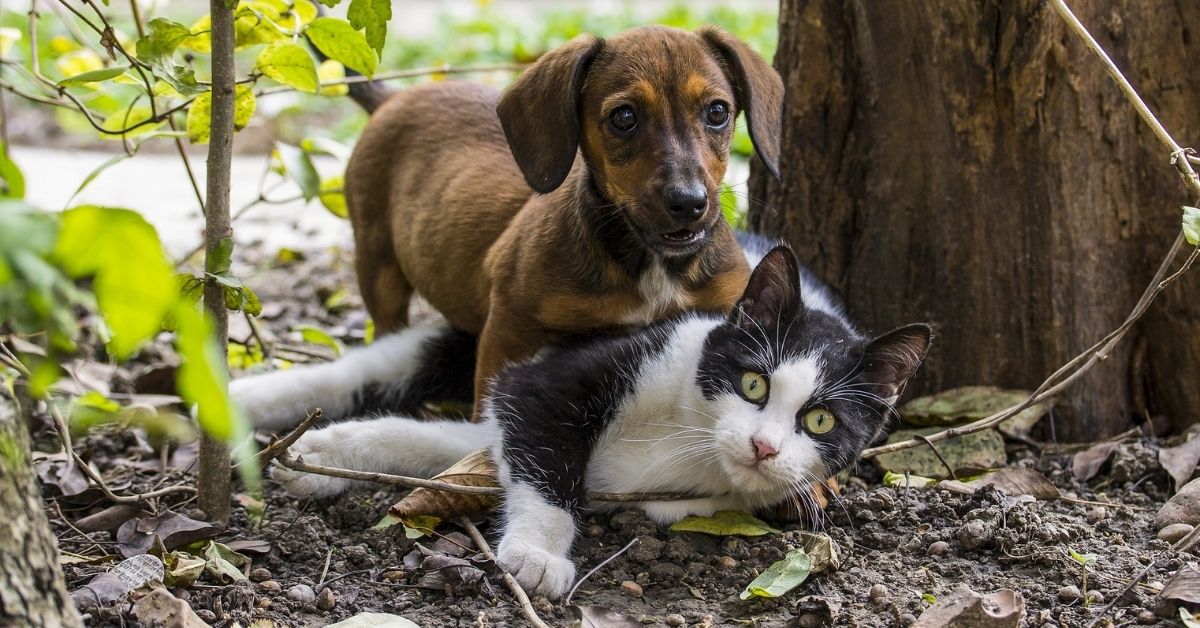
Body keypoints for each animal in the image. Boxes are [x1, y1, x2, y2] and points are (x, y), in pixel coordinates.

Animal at [229, 241, 931, 600]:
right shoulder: (558, 377)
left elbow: (445, 445)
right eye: (753, 383)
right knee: (374, 365)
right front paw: (538, 555)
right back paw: (236, 401)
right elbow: (544, 458)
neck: (691, 438)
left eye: (821, 423)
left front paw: (329, 456)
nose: (762, 446)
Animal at [343, 25, 782, 408]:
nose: (689, 203)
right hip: (377, 264)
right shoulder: (510, 326)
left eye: (717, 112)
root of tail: (392, 99)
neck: (650, 265)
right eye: (624, 117)